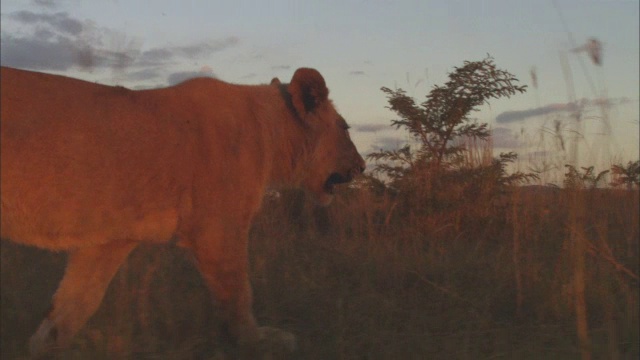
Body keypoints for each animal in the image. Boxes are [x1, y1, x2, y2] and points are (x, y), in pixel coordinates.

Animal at [0, 66, 362, 356]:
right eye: (345, 127)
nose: (361, 166)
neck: (271, 133)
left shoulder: (112, 238)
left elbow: (77, 300)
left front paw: (44, 346)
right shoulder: (218, 229)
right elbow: (238, 293)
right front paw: (257, 341)